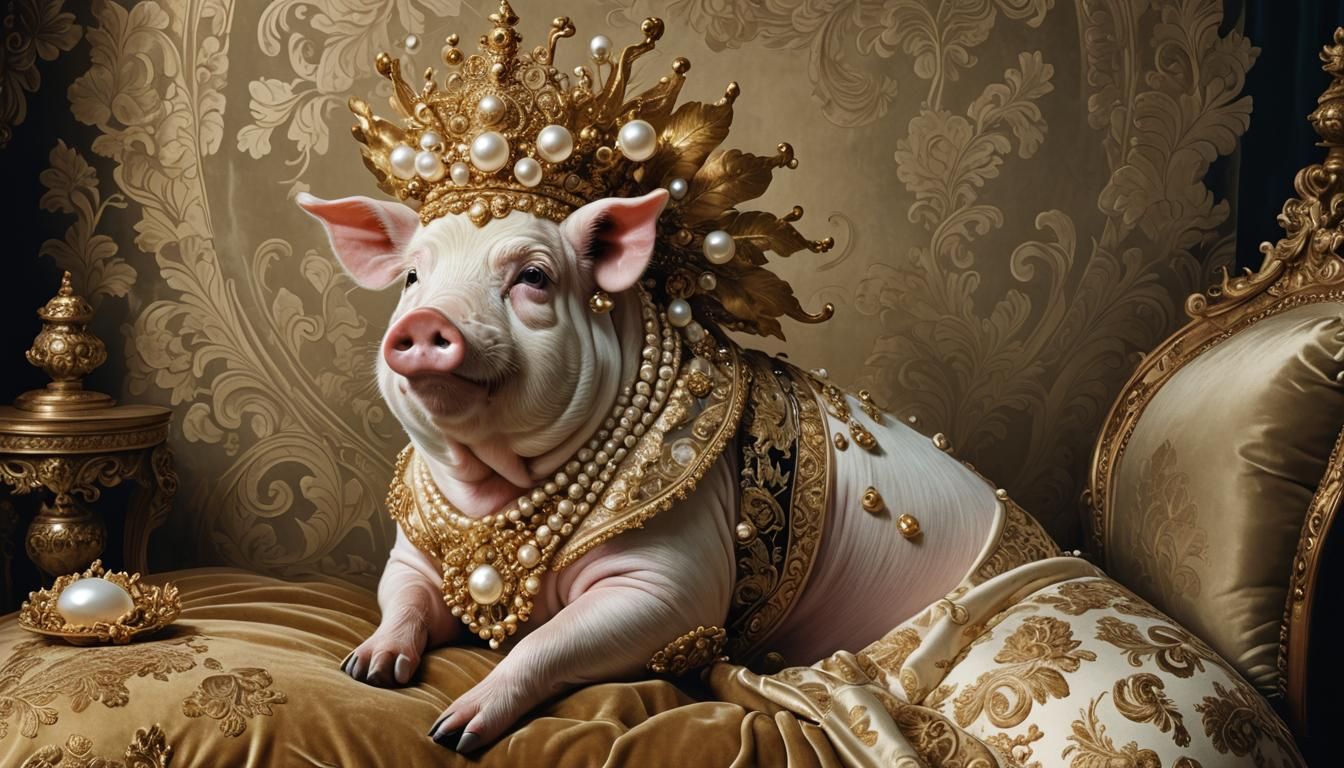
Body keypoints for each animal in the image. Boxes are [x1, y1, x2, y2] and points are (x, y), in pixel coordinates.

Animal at [296, 188, 1001, 754]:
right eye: (413, 277)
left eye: (533, 276)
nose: (423, 320)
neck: (501, 486)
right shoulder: (413, 552)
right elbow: (403, 598)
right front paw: (364, 669)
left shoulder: (676, 583)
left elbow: (546, 641)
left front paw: (452, 731)